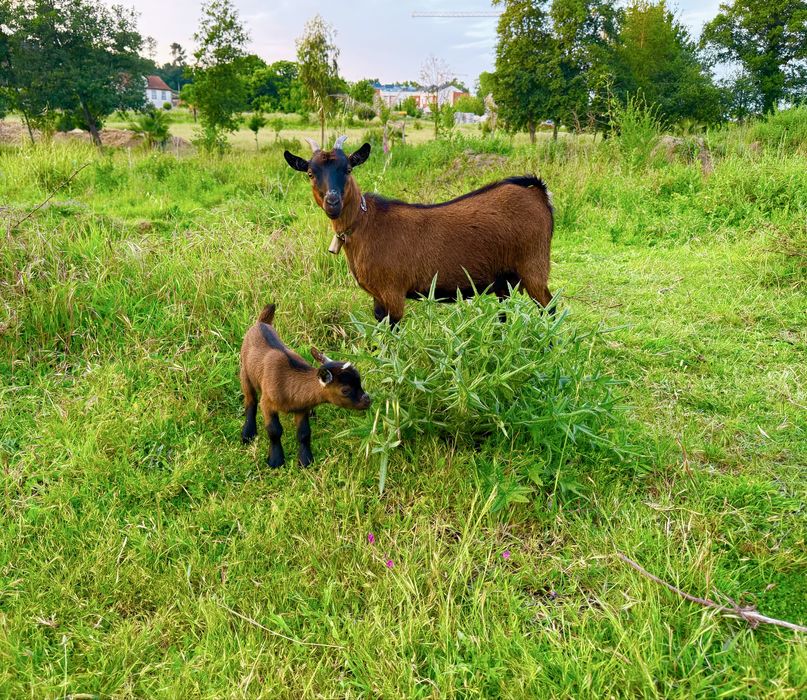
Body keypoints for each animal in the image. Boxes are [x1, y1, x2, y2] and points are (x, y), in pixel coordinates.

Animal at [240, 303, 371, 467]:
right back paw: (247, 434)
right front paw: (276, 460)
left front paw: (305, 461)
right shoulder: (267, 403)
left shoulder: (301, 407)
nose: (368, 400)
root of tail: (261, 322)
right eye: (345, 390)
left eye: (359, 381)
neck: (287, 383)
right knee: (250, 400)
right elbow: (274, 431)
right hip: (245, 372)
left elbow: (304, 433)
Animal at [284, 135, 554, 325]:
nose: (333, 202)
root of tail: (537, 192)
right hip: (504, 278)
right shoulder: (377, 298)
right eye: (310, 173)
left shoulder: (392, 293)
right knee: (504, 312)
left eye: (348, 169)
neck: (367, 223)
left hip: (533, 265)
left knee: (550, 308)